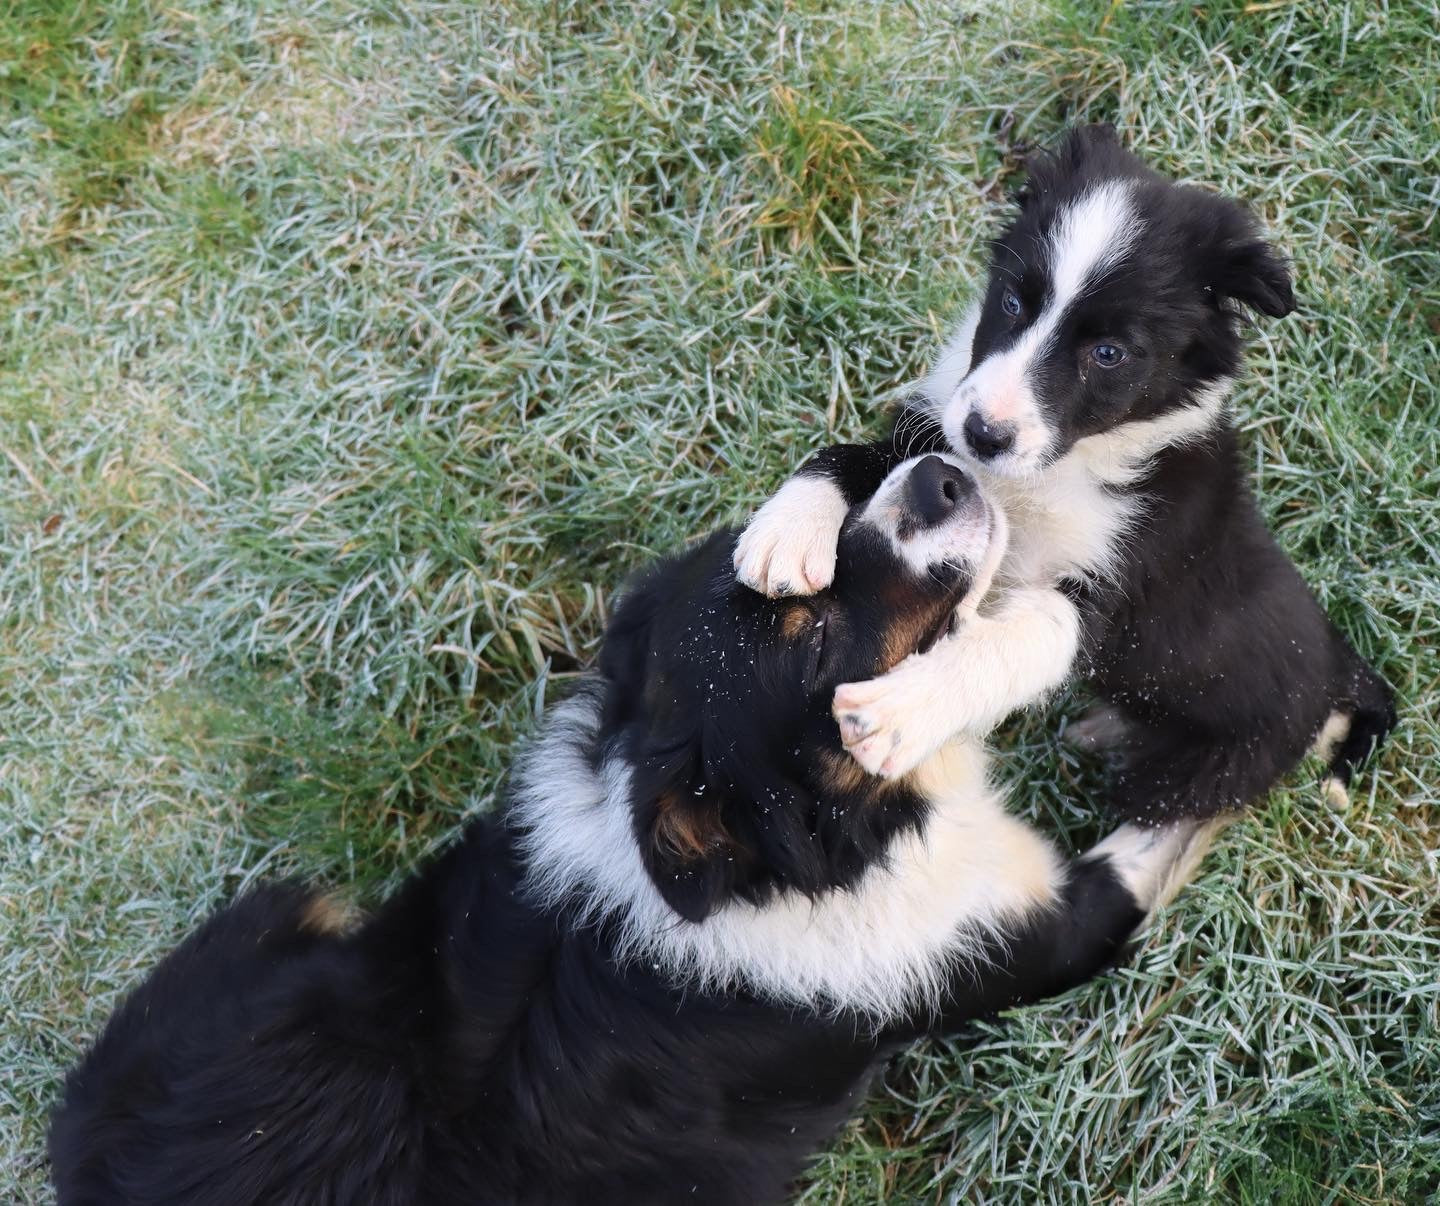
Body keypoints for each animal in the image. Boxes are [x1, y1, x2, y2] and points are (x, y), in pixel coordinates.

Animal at [737, 127, 1388, 828]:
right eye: (1012, 301)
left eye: (1108, 354)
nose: (984, 434)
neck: (1055, 471)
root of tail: (1340, 670)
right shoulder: (936, 443)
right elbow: (851, 453)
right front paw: (788, 532)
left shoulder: (1111, 584)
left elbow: (1017, 638)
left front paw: (901, 713)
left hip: (1201, 770)